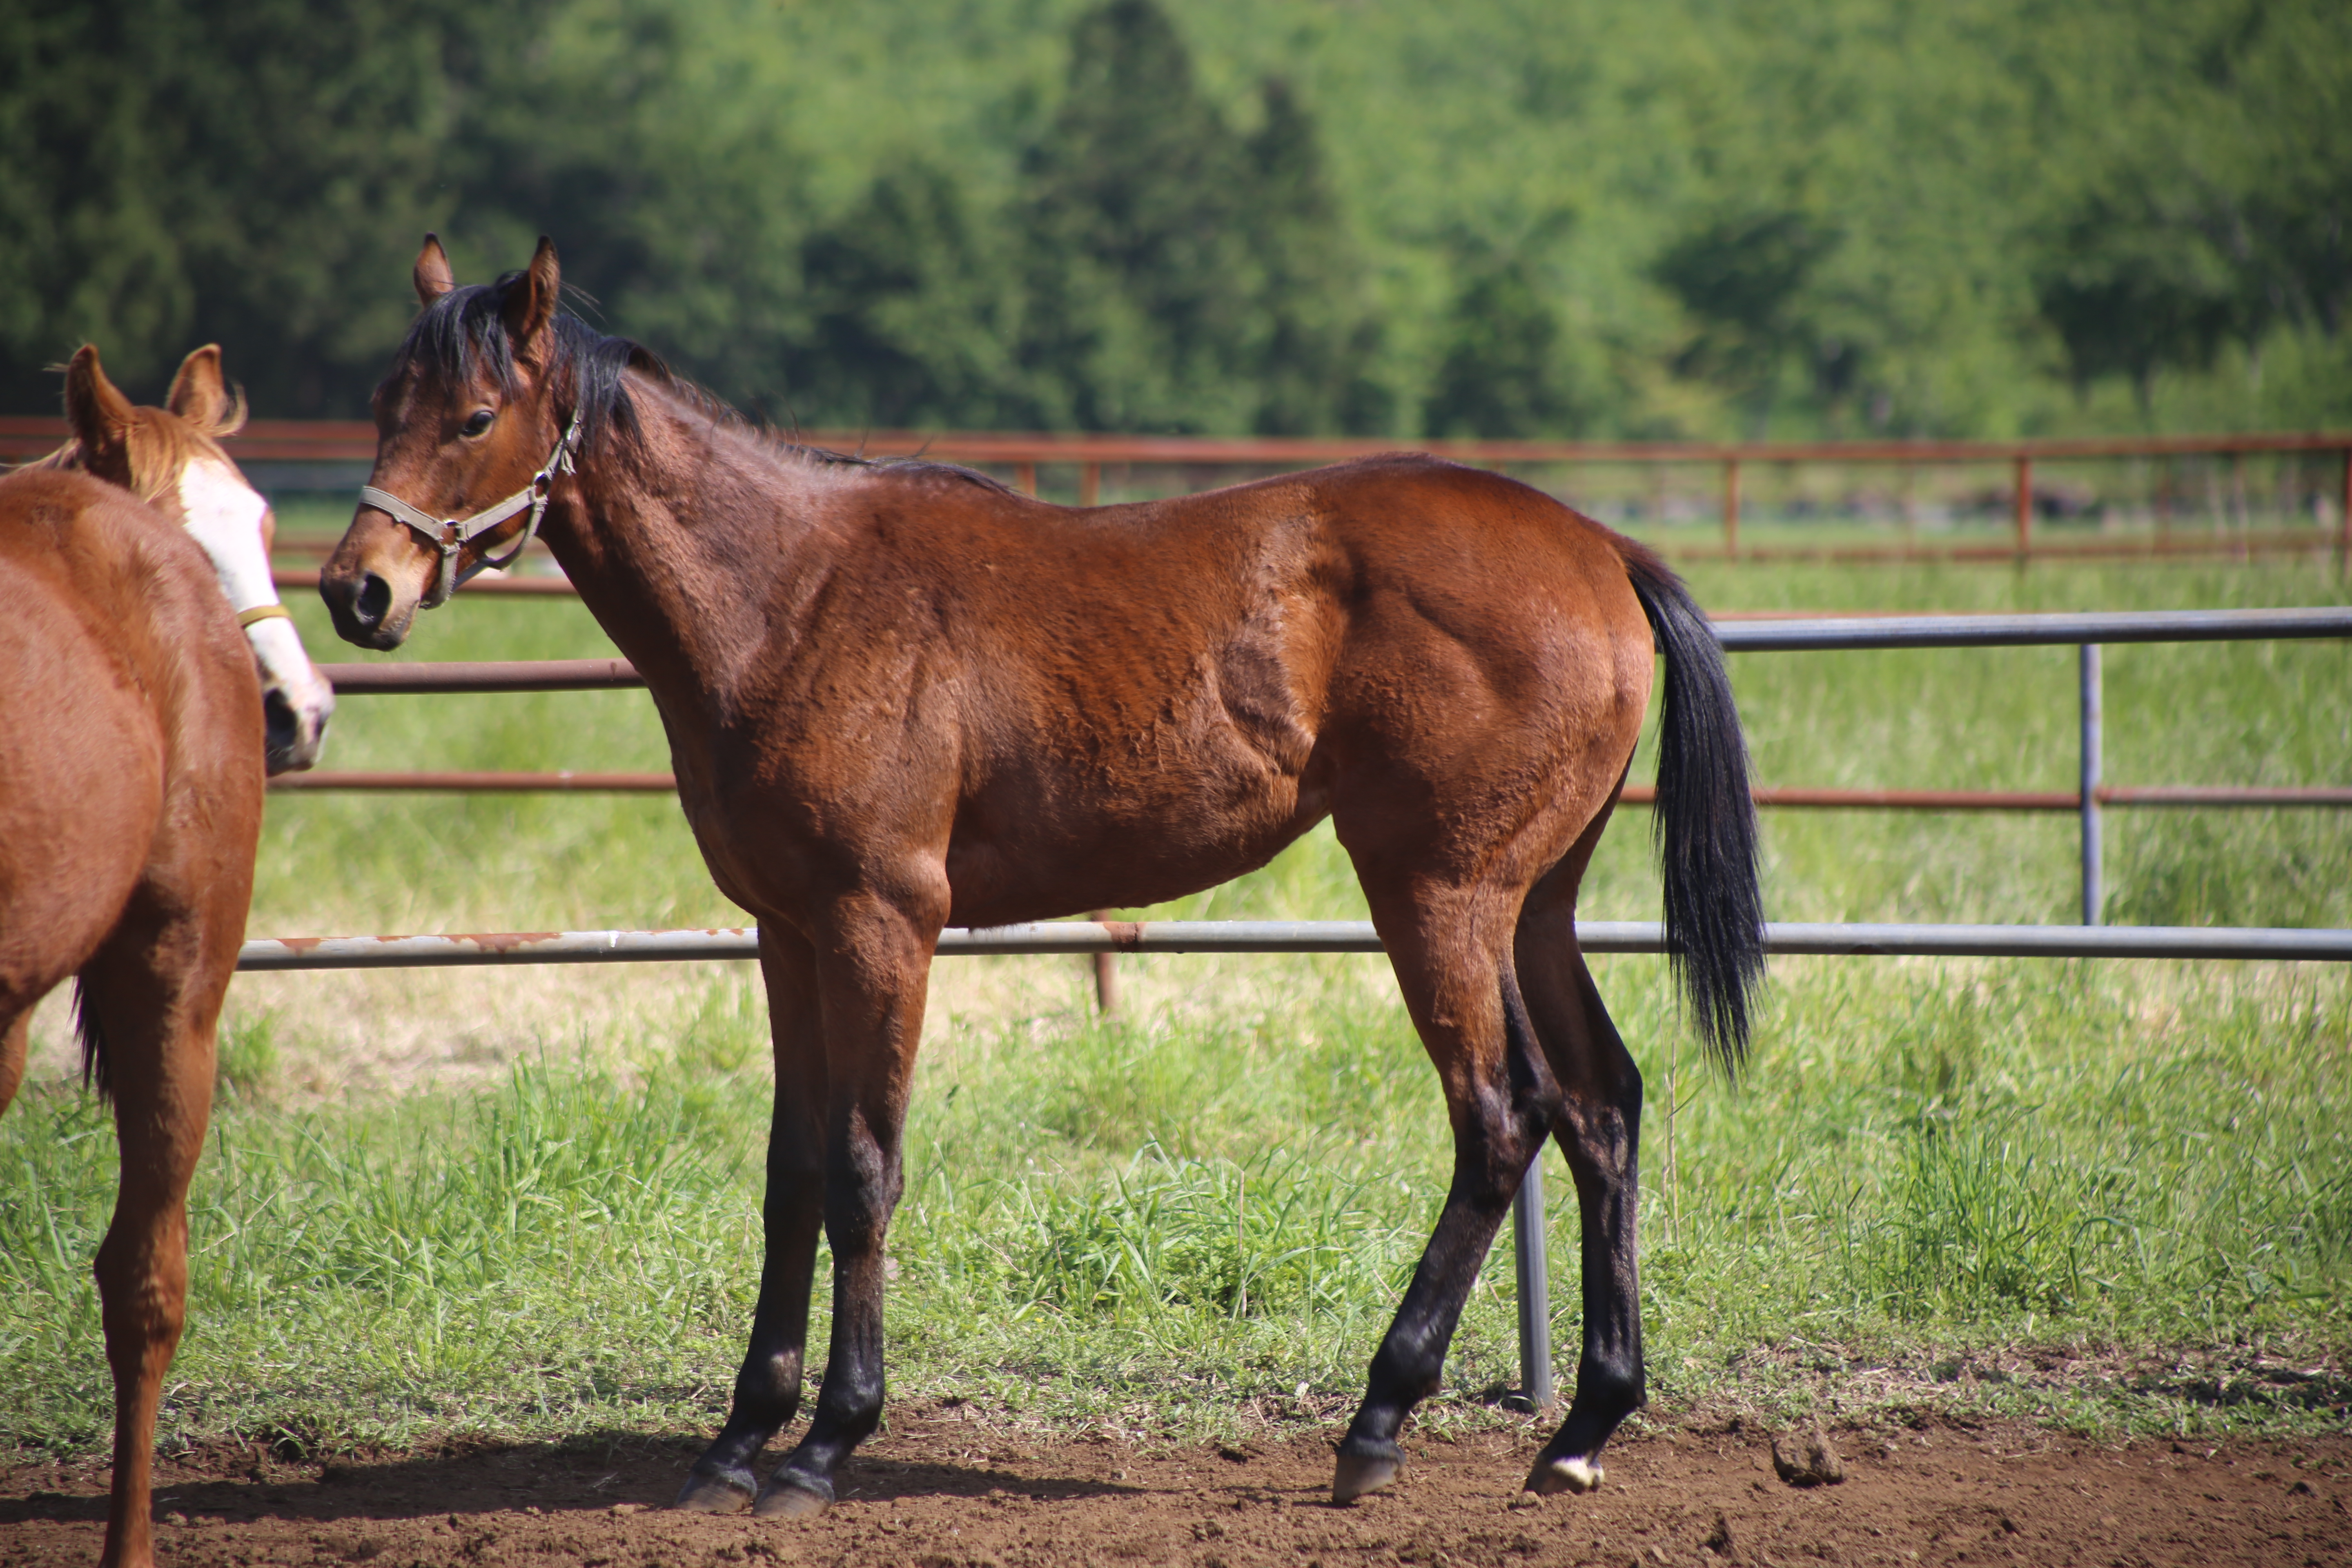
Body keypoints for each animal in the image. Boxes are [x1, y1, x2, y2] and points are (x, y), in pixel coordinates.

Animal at [322, 242, 1768, 1523]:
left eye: (473, 416)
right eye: (382, 404)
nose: (357, 590)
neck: (794, 595)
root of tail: (1598, 547)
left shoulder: (883, 925)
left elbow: (863, 1168)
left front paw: (826, 1444)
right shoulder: (787, 935)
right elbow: (793, 1169)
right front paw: (738, 1441)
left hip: (1437, 894)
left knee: (1502, 1115)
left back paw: (1379, 1420)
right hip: (1533, 904)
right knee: (1602, 1105)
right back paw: (1581, 1430)